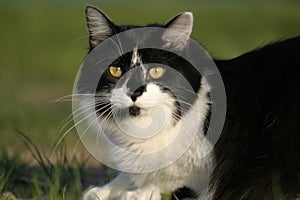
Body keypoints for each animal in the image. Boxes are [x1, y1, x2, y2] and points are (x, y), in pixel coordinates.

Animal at [80, 4, 300, 200]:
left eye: (156, 70)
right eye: (115, 70)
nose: (134, 91)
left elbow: (171, 184)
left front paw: (136, 193)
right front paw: (101, 191)